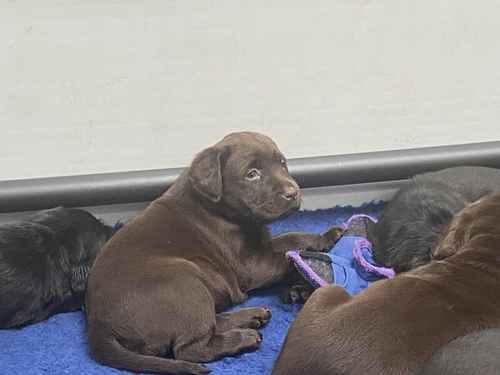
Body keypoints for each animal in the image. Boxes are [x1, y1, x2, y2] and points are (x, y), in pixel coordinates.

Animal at [87, 133, 344, 375]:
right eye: (252, 174)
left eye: (282, 163)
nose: (293, 192)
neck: (226, 212)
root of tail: (98, 326)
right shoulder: (252, 267)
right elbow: (288, 256)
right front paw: (314, 264)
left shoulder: (263, 243)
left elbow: (292, 237)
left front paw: (327, 236)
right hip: (185, 279)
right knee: (191, 348)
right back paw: (244, 337)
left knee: (210, 322)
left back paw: (251, 316)